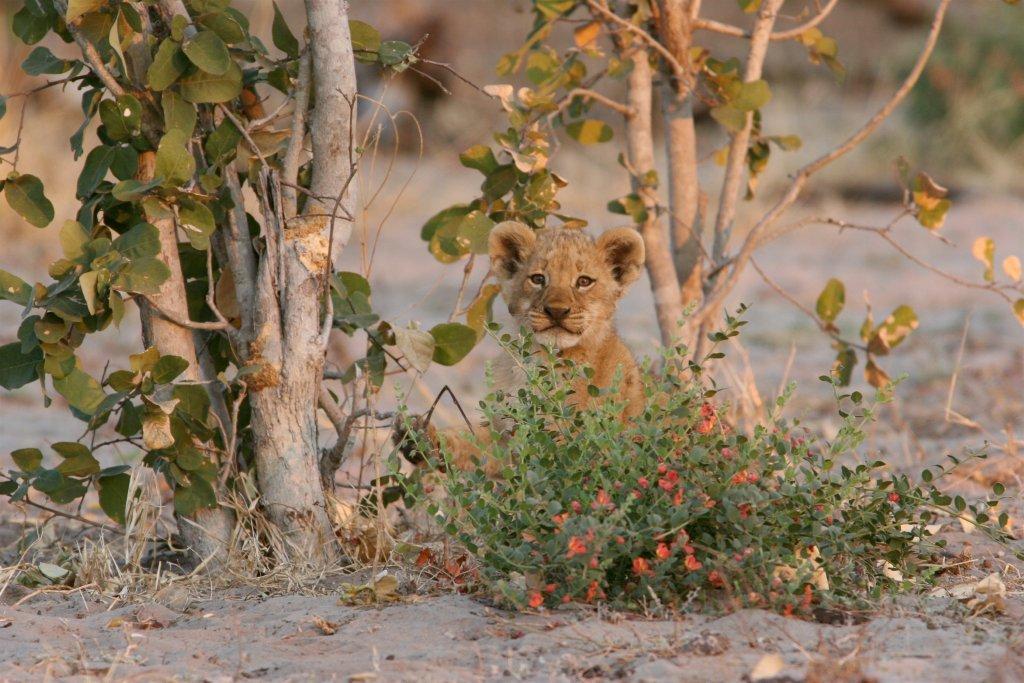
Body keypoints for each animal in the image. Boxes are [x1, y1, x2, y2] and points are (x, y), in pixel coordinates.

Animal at [395, 221, 647, 476]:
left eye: (584, 281)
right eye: (538, 278)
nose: (557, 311)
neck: (542, 362)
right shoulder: (508, 433)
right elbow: (475, 444)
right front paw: (421, 439)